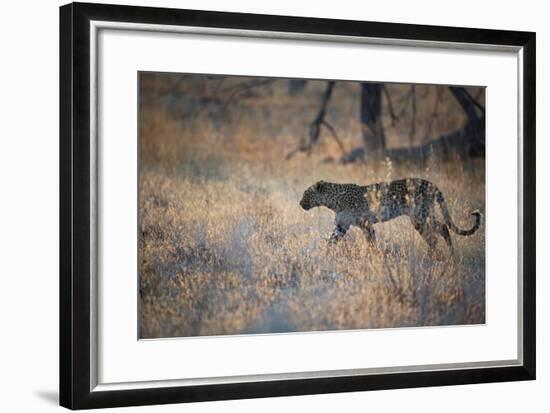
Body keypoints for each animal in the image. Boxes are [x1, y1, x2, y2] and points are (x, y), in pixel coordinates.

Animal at [302, 177, 484, 251]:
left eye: (306, 194)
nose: (300, 203)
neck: (332, 202)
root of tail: (430, 183)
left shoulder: (365, 224)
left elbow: (371, 242)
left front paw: (373, 257)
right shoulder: (341, 226)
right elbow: (331, 242)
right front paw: (325, 256)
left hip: (418, 216)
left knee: (433, 237)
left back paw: (435, 257)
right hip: (426, 214)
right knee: (443, 228)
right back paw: (450, 256)